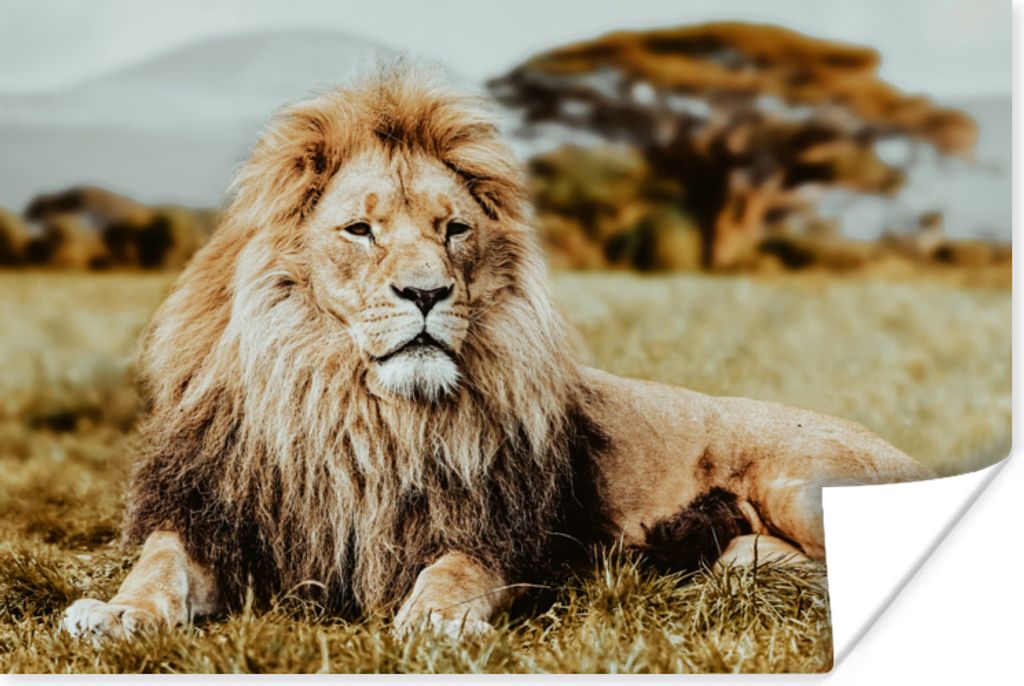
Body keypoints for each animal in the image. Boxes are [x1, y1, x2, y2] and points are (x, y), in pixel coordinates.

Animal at [61, 67, 934, 641]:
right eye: (361, 229)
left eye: (453, 229)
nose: (425, 294)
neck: (356, 412)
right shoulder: (213, 514)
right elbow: (159, 568)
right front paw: (116, 614)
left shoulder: (496, 530)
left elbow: (453, 573)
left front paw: (434, 621)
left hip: (803, 479)